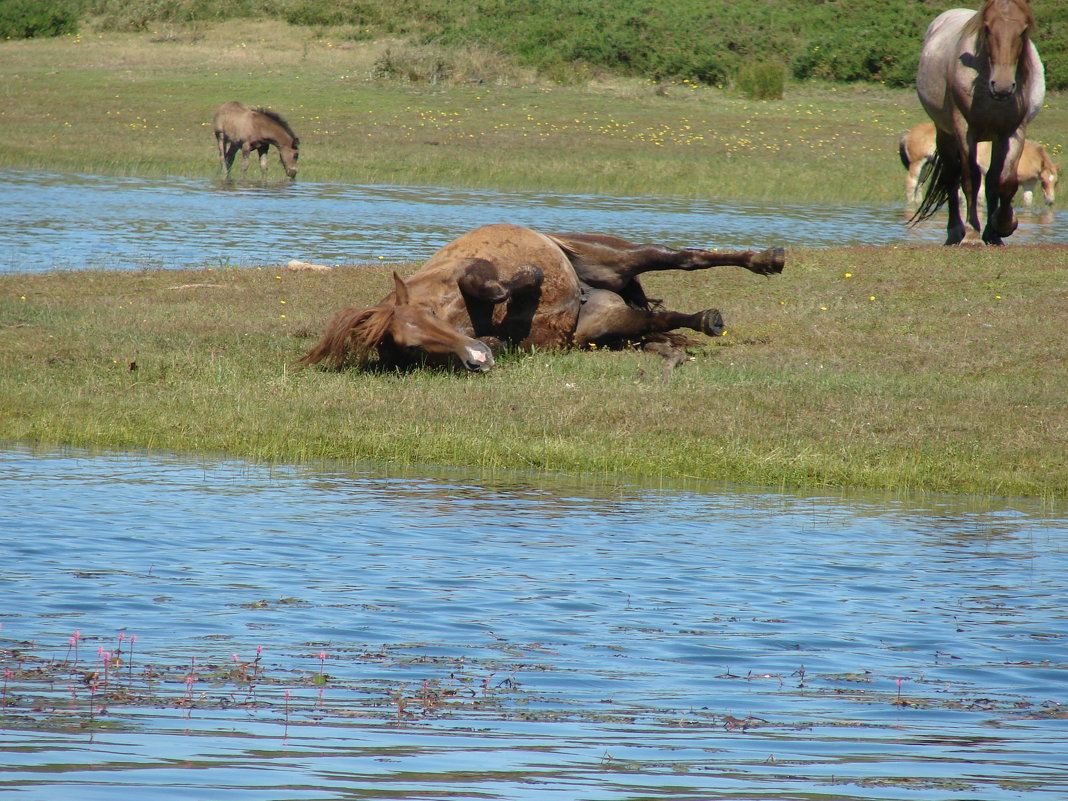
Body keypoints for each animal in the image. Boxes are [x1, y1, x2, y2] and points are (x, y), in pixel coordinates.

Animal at [296, 223, 781, 380]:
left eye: (431, 314)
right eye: (411, 347)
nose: (475, 359)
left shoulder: (472, 269)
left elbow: (487, 283)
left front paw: (525, 277)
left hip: (615, 261)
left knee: (684, 259)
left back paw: (765, 260)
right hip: (607, 325)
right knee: (657, 320)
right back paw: (706, 320)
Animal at [914, 0, 1046, 244]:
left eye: (1023, 30)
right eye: (986, 28)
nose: (1002, 87)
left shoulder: (1013, 131)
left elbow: (1004, 182)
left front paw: (1003, 226)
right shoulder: (965, 129)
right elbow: (971, 179)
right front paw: (972, 233)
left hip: (995, 137)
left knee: (992, 178)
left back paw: (992, 234)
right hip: (945, 133)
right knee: (952, 177)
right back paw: (955, 232)